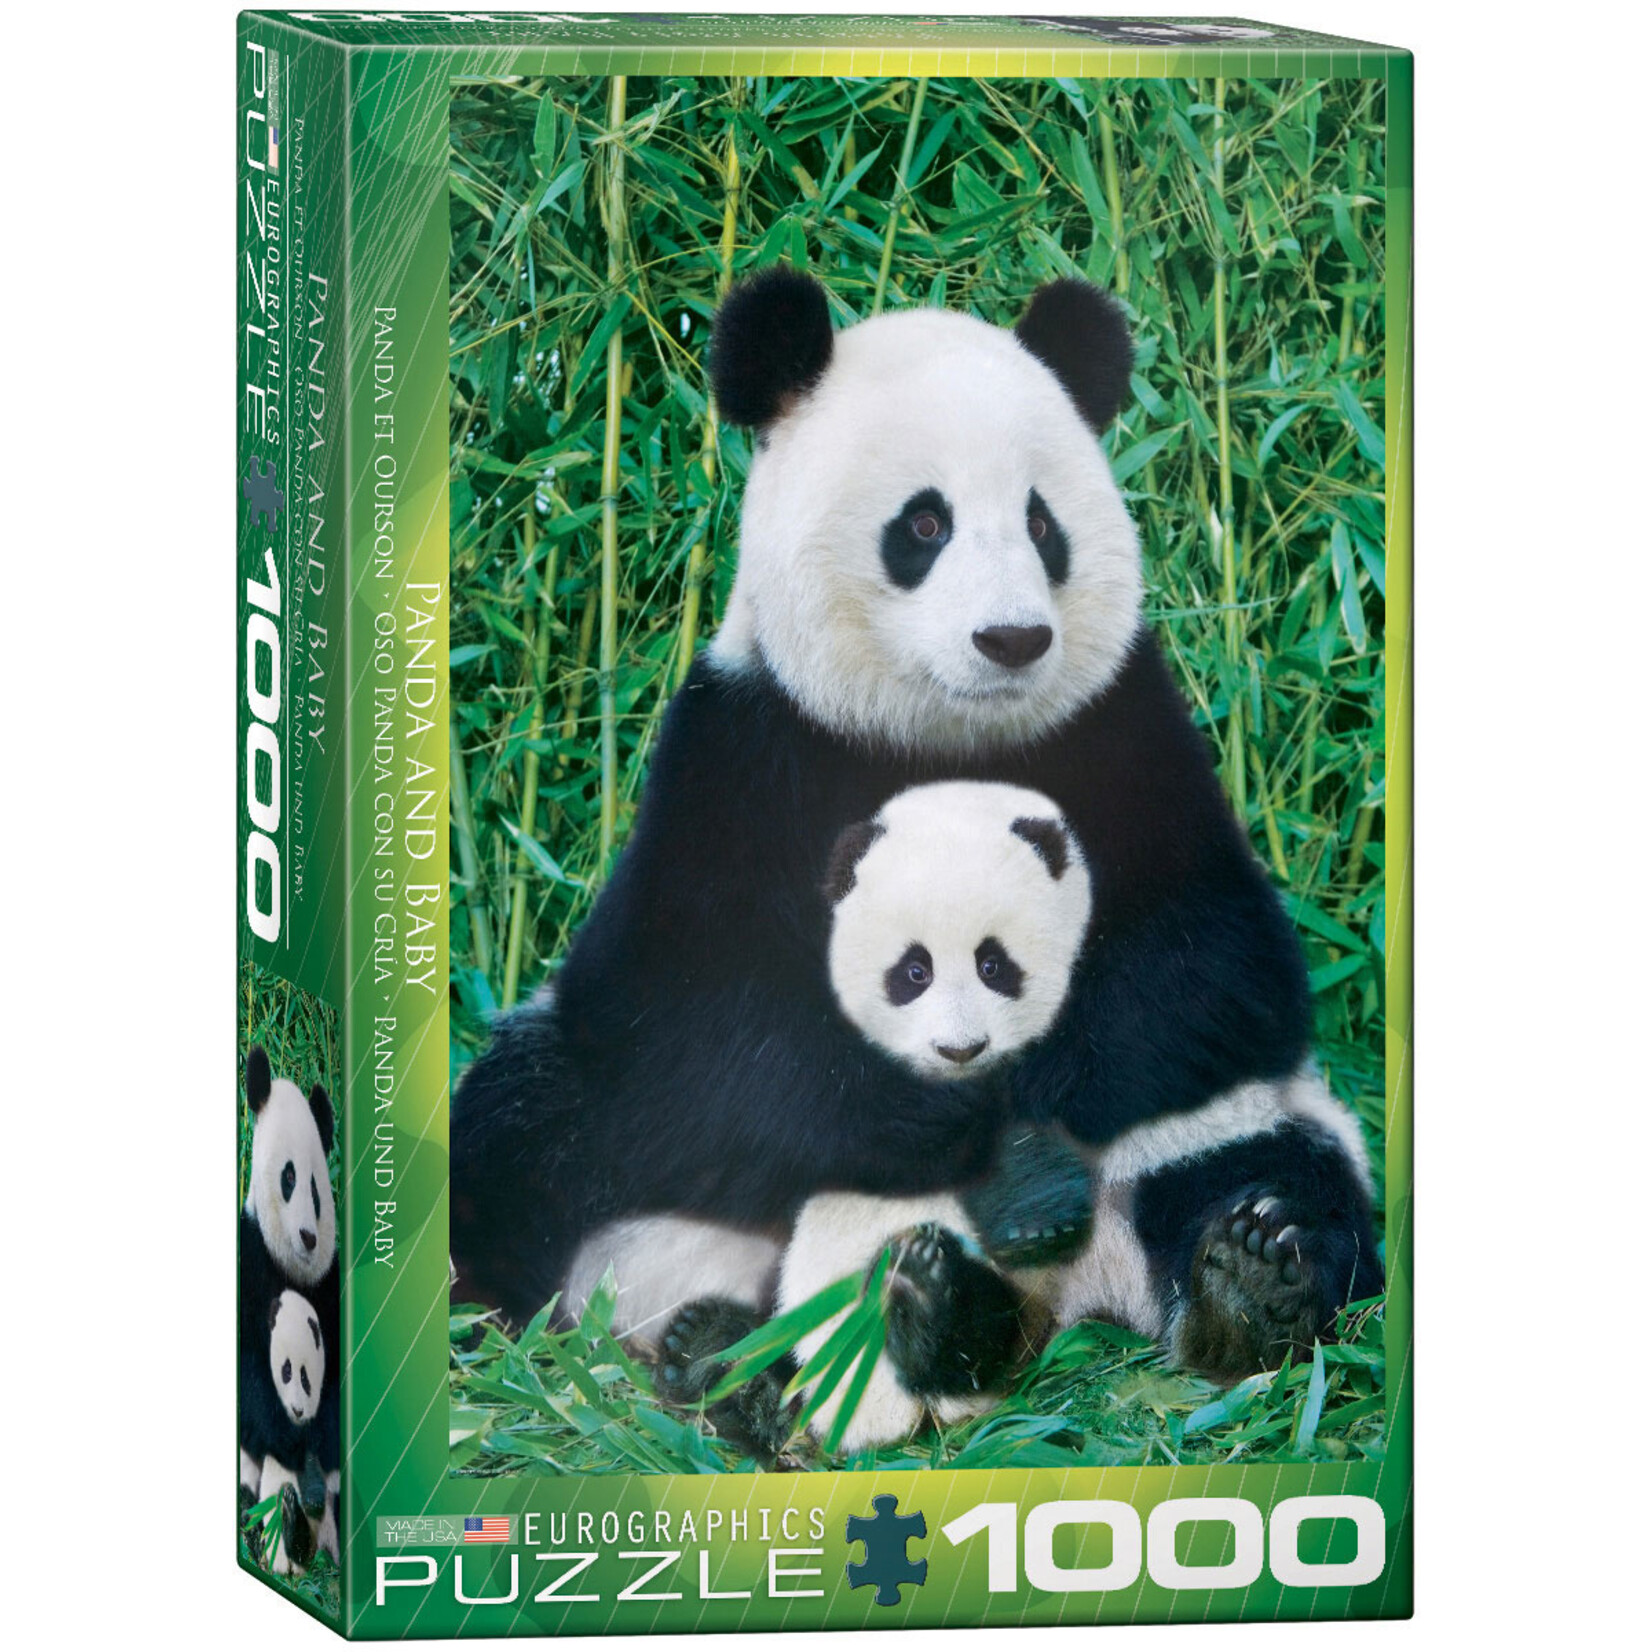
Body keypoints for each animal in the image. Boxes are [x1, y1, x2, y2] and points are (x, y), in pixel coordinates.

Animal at [450, 269, 1380, 1417]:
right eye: (925, 523)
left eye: (1040, 522)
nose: (1012, 639)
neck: (942, 735)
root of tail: (1069, 1295)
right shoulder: (744, 755)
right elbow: (696, 1022)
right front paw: (963, 1123)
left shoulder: (1126, 735)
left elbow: (1212, 971)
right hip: (617, 1168)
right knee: (520, 1135)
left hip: (1231, 1124)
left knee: (1280, 1169)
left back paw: (1239, 1282)